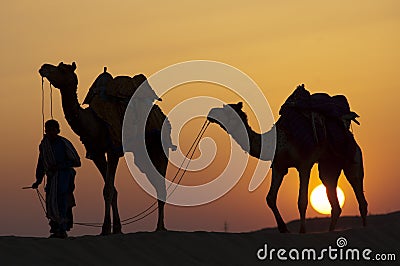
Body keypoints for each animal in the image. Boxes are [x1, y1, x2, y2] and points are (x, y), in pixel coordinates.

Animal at [39, 61, 172, 234]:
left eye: (62, 69)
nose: (44, 67)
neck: (93, 123)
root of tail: (163, 117)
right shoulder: (96, 153)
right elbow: (111, 190)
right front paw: (116, 228)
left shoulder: (113, 149)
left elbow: (108, 190)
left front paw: (105, 228)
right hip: (142, 155)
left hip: (159, 148)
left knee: (161, 184)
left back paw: (160, 227)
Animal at [208, 101, 368, 233]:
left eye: (226, 110)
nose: (210, 113)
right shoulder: (279, 166)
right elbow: (270, 198)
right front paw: (283, 228)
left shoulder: (304, 164)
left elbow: (302, 200)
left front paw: (302, 231)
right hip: (329, 165)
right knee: (334, 200)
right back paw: (331, 231)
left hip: (353, 159)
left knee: (359, 194)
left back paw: (364, 228)